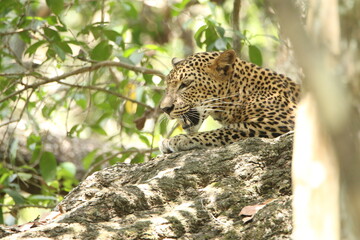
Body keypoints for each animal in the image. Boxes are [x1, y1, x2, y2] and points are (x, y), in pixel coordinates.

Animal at [160, 49, 300, 153]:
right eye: (166, 88)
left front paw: (177, 139)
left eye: (185, 84)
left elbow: (224, 131)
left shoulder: (282, 121)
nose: (165, 109)